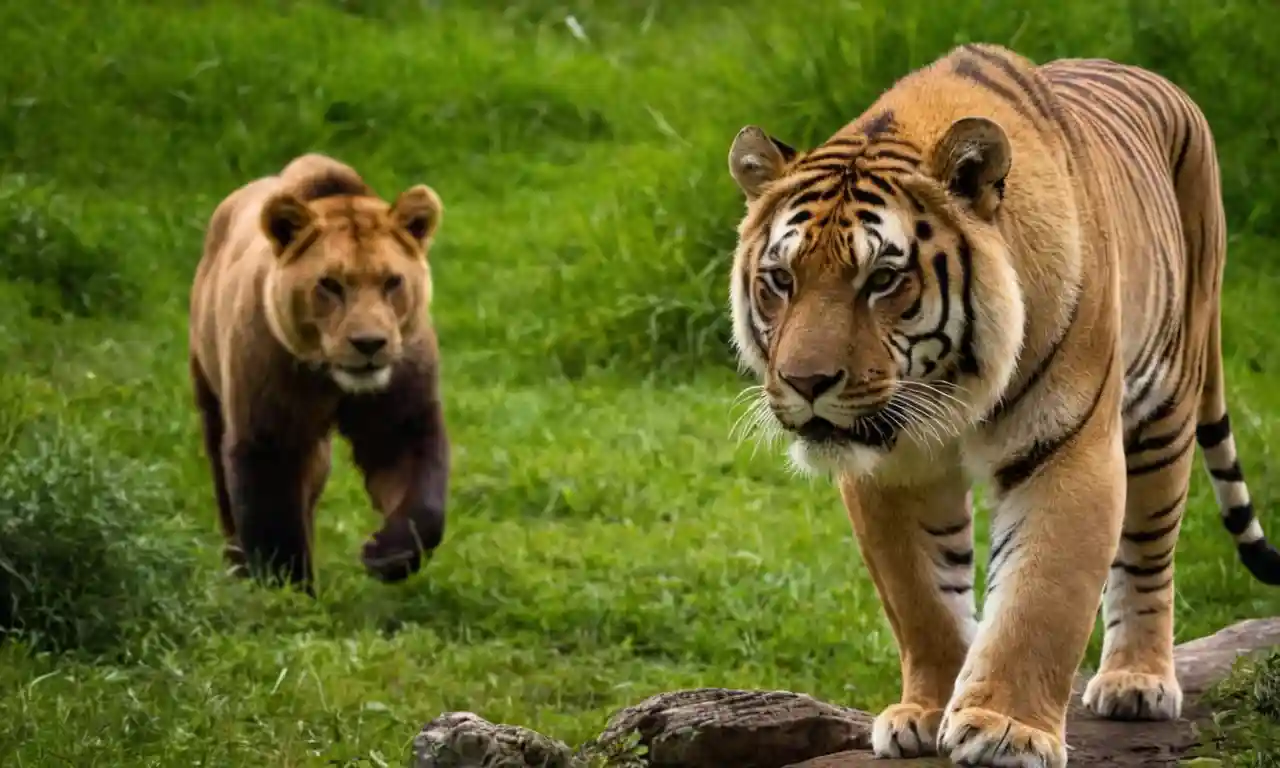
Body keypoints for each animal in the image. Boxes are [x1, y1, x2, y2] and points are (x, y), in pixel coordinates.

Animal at [727, 43, 1274, 768]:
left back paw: (1136, 681)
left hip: (1168, 408)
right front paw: (927, 712)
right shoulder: (891, 470)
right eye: (781, 280)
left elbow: (1039, 597)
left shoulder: (1067, 448)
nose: (805, 381)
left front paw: (1005, 729)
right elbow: (922, 600)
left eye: (883, 279)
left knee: (1148, 553)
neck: (951, 392)